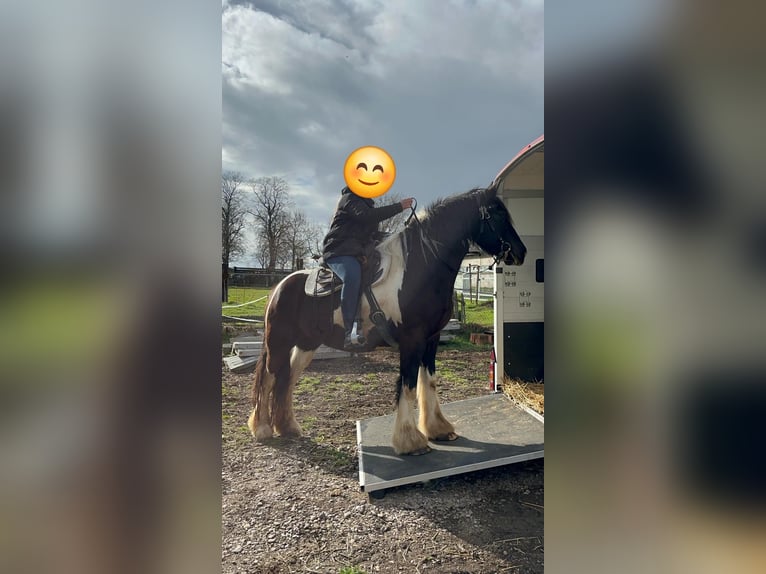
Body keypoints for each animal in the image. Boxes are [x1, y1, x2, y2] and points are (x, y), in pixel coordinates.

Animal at [247, 185, 527, 455]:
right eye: (496, 215)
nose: (521, 252)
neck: (419, 269)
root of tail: (279, 287)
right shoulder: (412, 341)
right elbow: (408, 386)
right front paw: (411, 442)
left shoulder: (431, 339)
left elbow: (429, 382)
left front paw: (438, 429)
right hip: (279, 343)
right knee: (269, 378)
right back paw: (262, 429)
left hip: (306, 345)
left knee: (287, 379)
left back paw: (288, 427)